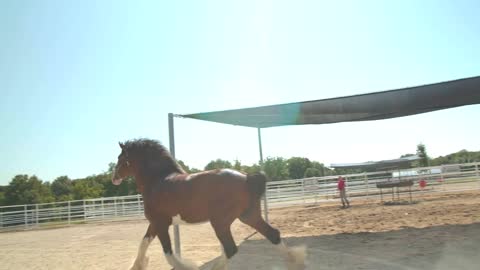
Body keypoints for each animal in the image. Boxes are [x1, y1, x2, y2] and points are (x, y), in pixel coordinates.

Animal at [111, 139, 306, 270]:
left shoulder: (161, 223)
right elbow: (143, 243)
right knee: (273, 235)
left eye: (121, 158)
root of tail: (247, 178)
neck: (158, 181)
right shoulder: (154, 223)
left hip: (220, 222)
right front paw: (136, 266)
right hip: (248, 216)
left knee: (231, 248)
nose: (114, 179)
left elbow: (168, 253)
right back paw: (296, 262)